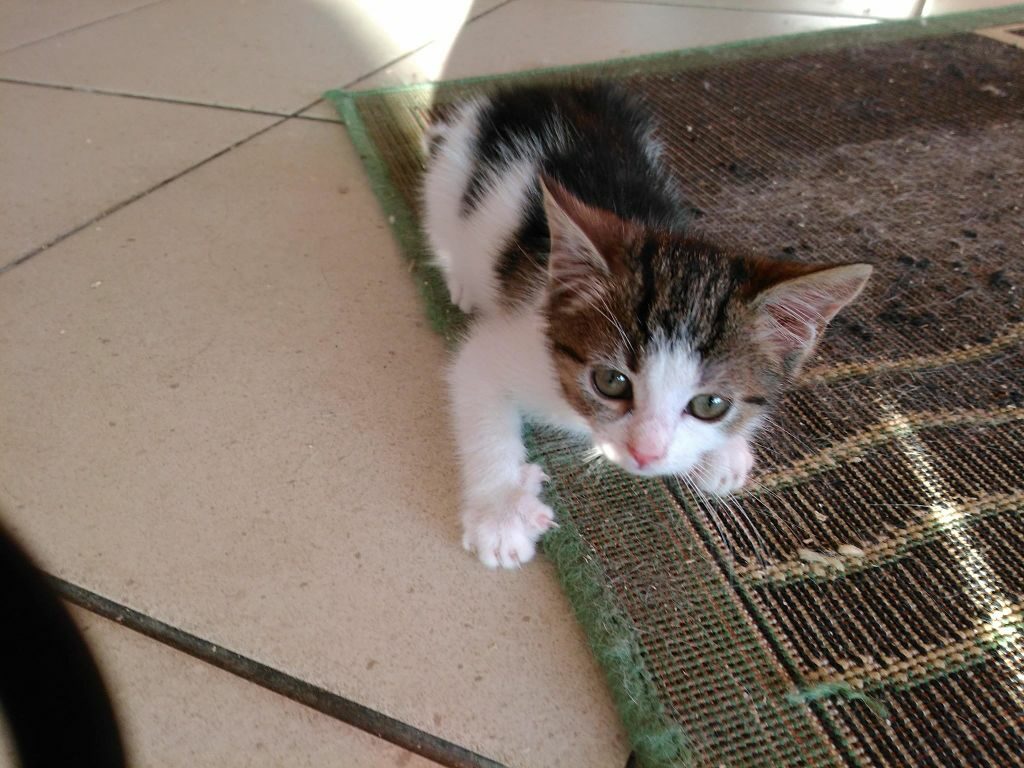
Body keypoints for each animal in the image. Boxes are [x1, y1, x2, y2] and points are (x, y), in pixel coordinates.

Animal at [421, 82, 871, 569]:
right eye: (610, 381)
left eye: (711, 404)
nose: (645, 453)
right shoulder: (510, 345)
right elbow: (480, 402)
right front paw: (501, 513)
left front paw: (725, 452)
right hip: (446, 184)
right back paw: (462, 280)